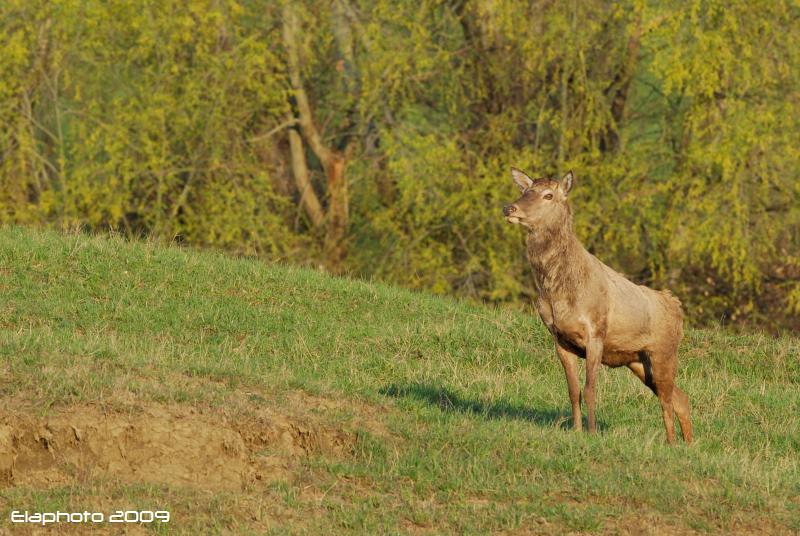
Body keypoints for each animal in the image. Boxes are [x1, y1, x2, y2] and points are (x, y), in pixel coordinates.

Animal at [504, 168, 692, 444]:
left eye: (549, 195)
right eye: (525, 191)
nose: (509, 208)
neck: (558, 294)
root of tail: (677, 306)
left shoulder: (596, 332)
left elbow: (590, 388)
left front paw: (592, 433)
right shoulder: (560, 339)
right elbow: (573, 390)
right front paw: (576, 430)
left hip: (664, 351)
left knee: (667, 402)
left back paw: (672, 444)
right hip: (638, 361)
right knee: (680, 398)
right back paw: (687, 444)